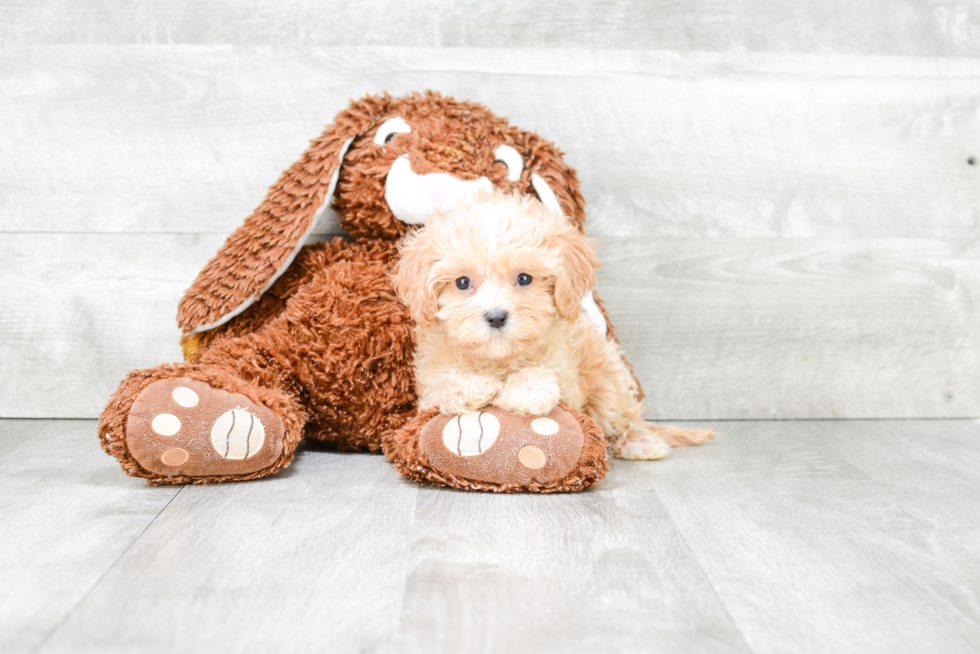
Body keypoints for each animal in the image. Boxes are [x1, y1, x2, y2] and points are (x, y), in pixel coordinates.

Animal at [394, 190, 716, 462]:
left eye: (524, 278)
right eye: (462, 282)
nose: (496, 316)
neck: (499, 360)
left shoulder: (567, 376)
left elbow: (546, 377)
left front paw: (526, 391)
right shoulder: (427, 385)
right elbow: (441, 385)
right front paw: (470, 386)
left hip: (607, 379)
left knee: (624, 415)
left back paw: (638, 441)